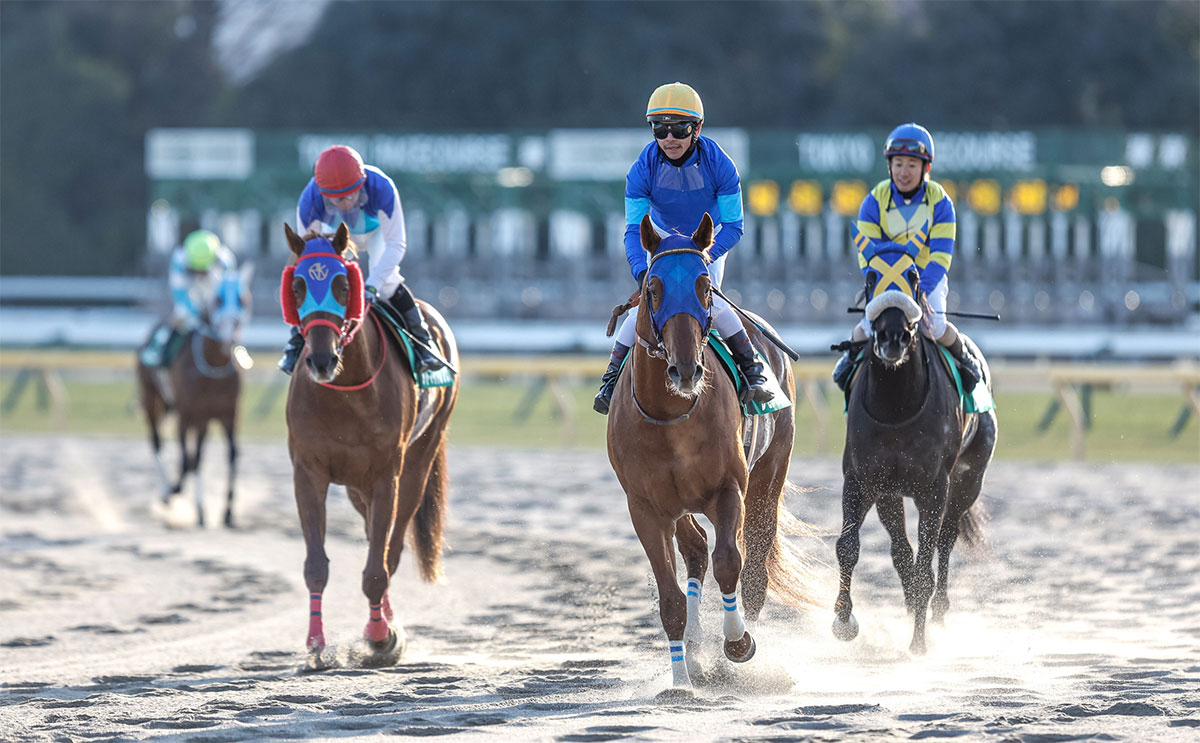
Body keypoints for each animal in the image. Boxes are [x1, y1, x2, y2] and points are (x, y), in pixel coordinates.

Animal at [136, 261, 253, 528]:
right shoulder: (189, 413)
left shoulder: (228, 414)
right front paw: (195, 506)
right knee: (158, 441)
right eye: (218, 299)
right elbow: (191, 458)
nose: (229, 339)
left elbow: (231, 455)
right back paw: (167, 490)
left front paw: (227, 512)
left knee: (191, 453)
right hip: (152, 398)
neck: (214, 365)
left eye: (242, 299)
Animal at [280, 220, 458, 667]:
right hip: (356, 486)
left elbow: (379, 566)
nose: (321, 360)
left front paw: (380, 638)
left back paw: (385, 628)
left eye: (344, 284)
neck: (345, 393)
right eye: (297, 286)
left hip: (417, 464)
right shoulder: (308, 472)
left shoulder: (385, 476)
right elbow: (316, 566)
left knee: (391, 549)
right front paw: (316, 645)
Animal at [604, 214, 820, 691]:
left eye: (704, 286)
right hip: (681, 505)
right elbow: (671, 598)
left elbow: (729, 563)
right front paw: (680, 680)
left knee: (753, 565)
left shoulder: (729, 489)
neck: (672, 415)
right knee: (697, 551)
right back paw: (696, 654)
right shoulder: (645, 507)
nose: (686, 369)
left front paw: (738, 644)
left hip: (768, 478)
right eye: (652, 288)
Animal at [830, 249, 998, 657]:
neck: (897, 407)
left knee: (946, 540)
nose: (893, 336)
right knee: (900, 551)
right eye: (872, 276)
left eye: (914, 276)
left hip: (967, 481)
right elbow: (849, 546)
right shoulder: (863, 480)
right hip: (891, 495)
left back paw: (937, 613)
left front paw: (919, 641)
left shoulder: (933, 489)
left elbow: (926, 563)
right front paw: (843, 619)